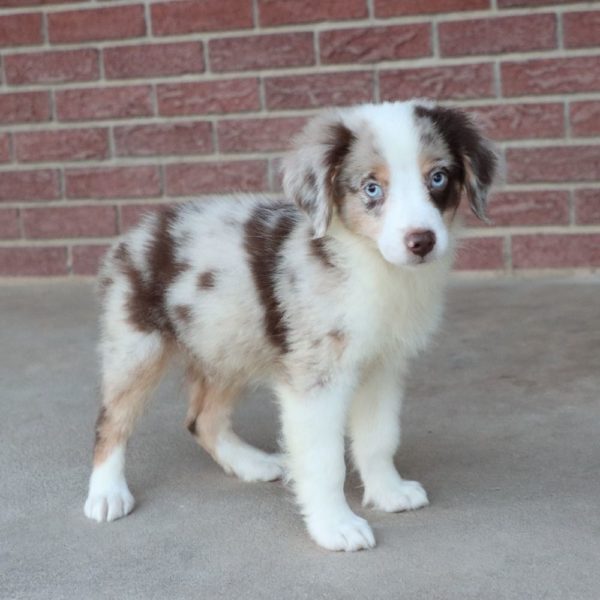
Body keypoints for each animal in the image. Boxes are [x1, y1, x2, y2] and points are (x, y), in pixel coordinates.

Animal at [84, 99, 496, 552]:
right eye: (372, 188)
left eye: (437, 177)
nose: (421, 241)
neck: (368, 264)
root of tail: (135, 234)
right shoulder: (316, 378)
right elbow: (324, 460)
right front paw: (335, 526)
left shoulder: (381, 366)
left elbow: (379, 437)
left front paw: (389, 493)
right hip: (137, 346)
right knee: (111, 421)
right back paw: (106, 493)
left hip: (228, 342)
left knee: (202, 419)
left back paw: (250, 464)